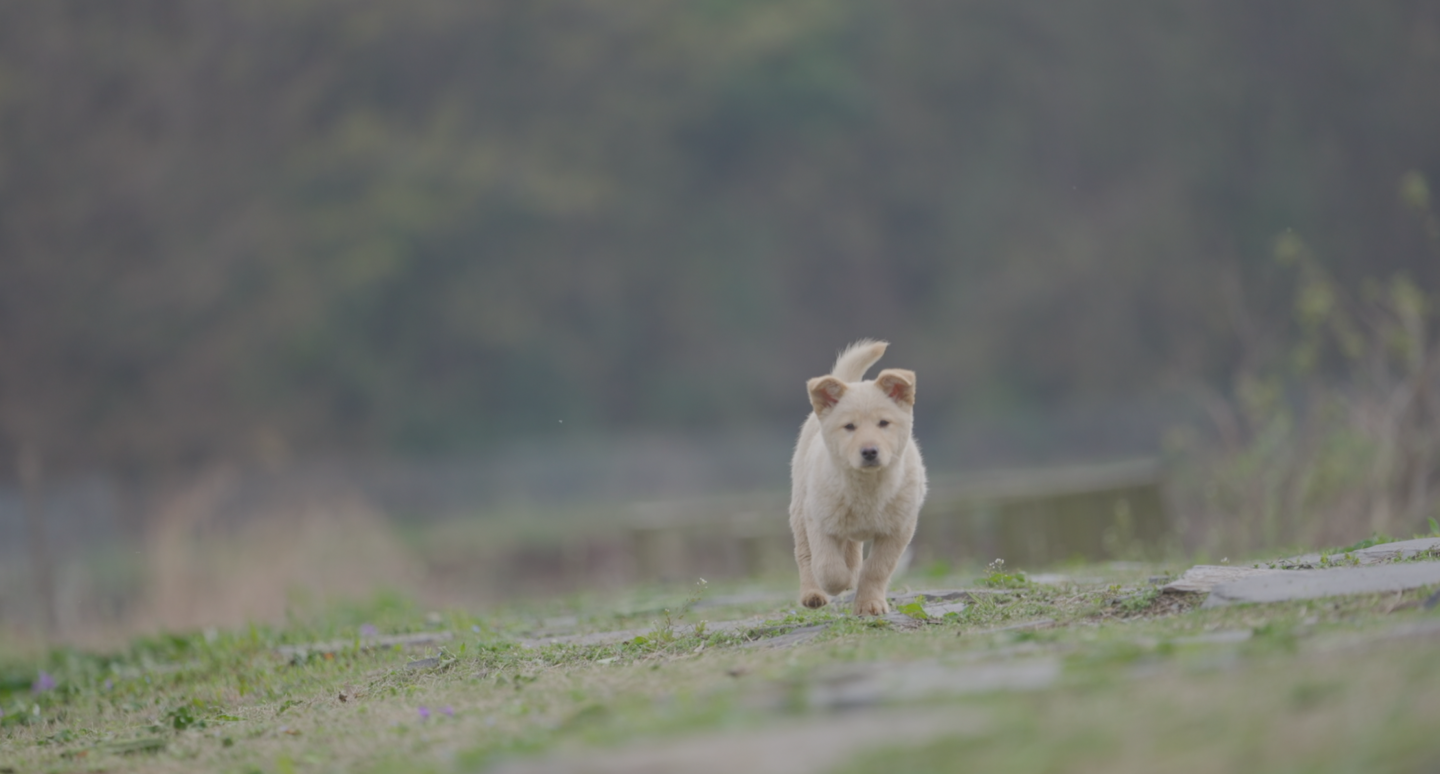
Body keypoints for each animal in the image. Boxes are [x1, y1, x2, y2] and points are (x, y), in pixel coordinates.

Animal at [789, 336, 933, 615]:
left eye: (884, 423)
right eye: (849, 427)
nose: (869, 452)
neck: (868, 487)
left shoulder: (899, 529)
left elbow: (877, 568)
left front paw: (869, 604)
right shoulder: (819, 519)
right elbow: (827, 566)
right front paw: (839, 583)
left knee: (852, 550)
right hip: (800, 507)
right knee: (805, 555)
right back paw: (813, 594)